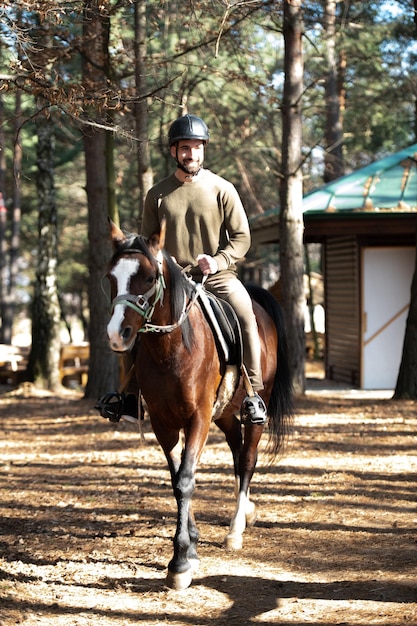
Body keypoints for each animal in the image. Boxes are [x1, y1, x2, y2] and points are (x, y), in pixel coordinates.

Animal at [104, 218, 292, 584]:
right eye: (110, 277)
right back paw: (246, 511)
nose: (117, 334)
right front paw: (190, 547)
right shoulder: (163, 423)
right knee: (237, 453)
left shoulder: (198, 419)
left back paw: (236, 529)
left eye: (149, 277)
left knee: (248, 460)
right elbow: (176, 477)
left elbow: (186, 480)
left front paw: (179, 562)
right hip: (226, 414)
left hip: (253, 407)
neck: (171, 350)